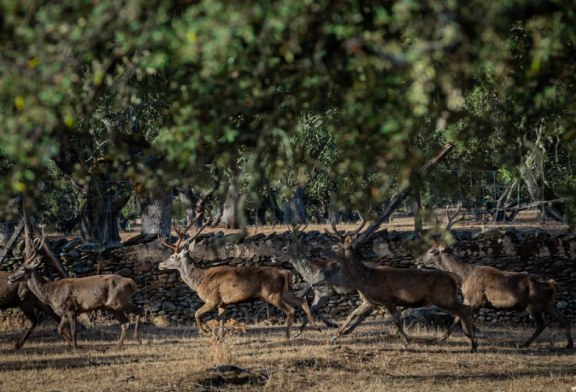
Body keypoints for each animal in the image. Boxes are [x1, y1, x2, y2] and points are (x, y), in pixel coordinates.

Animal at [8, 234, 144, 350]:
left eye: (22, 268)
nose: (10, 278)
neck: (51, 293)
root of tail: (132, 283)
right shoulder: (63, 312)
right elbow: (59, 329)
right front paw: (75, 345)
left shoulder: (71, 308)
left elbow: (74, 330)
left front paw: (75, 347)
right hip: (112, 306)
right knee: (125, 323)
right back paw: (118, 346)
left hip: (119, 300)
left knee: (139, 311)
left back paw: (138, 339)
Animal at [158, 219, 320, 338]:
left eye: (173, 256)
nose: (160, 264)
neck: (199, 280)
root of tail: (286, 273)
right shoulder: (223, 303)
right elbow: (221, 322)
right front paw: (220, 337)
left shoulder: (213, 299)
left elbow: (196, 313)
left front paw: (204, 331)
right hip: (283, 291)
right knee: (302, 301)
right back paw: (315, 327)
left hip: (272, 293)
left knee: (291, 310)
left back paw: (286, 336)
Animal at [324, 220, 476, 352]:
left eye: (336, 247)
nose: (321, 253)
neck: (365, 279)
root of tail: (454, 277)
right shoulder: (369, 301)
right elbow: (352, 314)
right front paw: (335, 335)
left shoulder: (387, 299)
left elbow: (396, 320)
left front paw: (406, 342)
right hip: (448, 298)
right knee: (464, 310)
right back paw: (471, 340)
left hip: (444, 298)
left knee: (464, 310)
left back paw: (472, 342)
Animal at [416, 205, 572, 350]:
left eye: (432, 251)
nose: (417, 260)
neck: (464, 276)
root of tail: (552, 284)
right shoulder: (468, 299)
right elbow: (457, 317)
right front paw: (443, 338)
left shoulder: (476, 299)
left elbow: (460, 317)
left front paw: (468, 339)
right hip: (549, 303)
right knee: (563, 318)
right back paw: (568, 344)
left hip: (534, 304)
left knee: (541, 324)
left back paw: (525, 344)